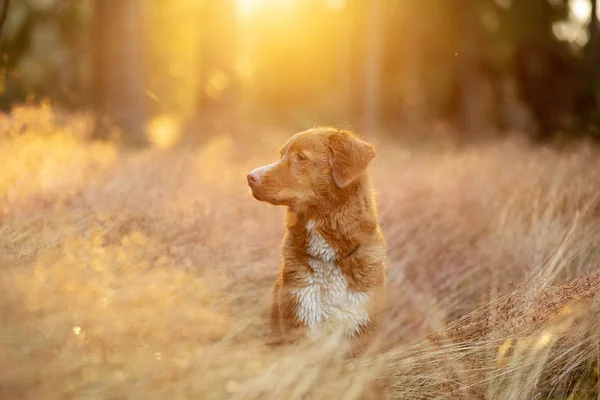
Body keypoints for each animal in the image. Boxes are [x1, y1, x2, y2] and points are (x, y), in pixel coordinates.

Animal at [246, 126, 386, 354]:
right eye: (281, 155)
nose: (250, 177)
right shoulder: (300, 318)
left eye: (301, 157)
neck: (330, 258)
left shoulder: (361, 327)